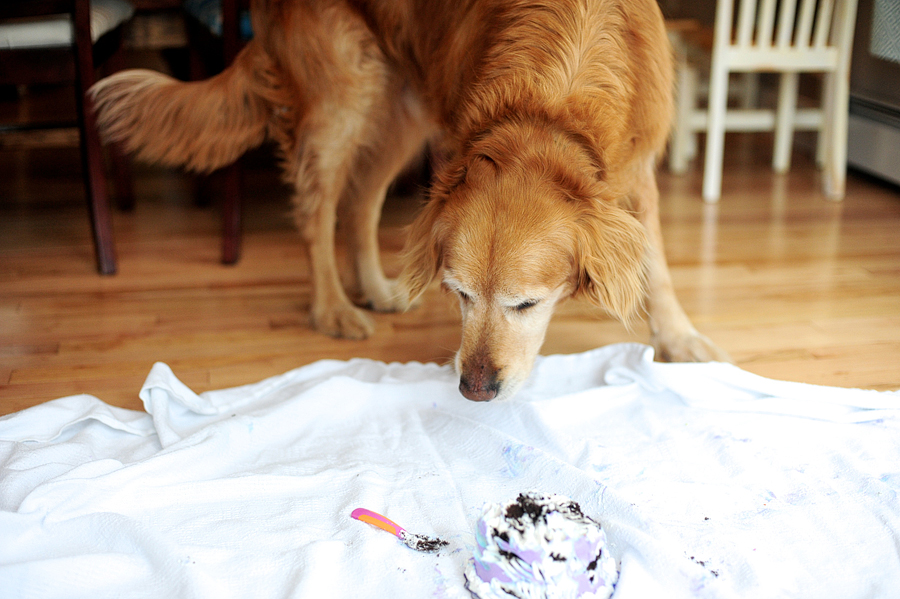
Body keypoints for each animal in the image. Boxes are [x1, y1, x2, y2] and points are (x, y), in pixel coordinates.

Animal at [89, 1, 732, 404]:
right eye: (459, 294)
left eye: (526, 305)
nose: (474, 389)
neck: (547, 102)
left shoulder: (637, 168)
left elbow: (658, 266)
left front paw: (679, 339)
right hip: (346, 96)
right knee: (318, 209)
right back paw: (333, 309)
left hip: (401, 106)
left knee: (360, 202)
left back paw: (377, 288)